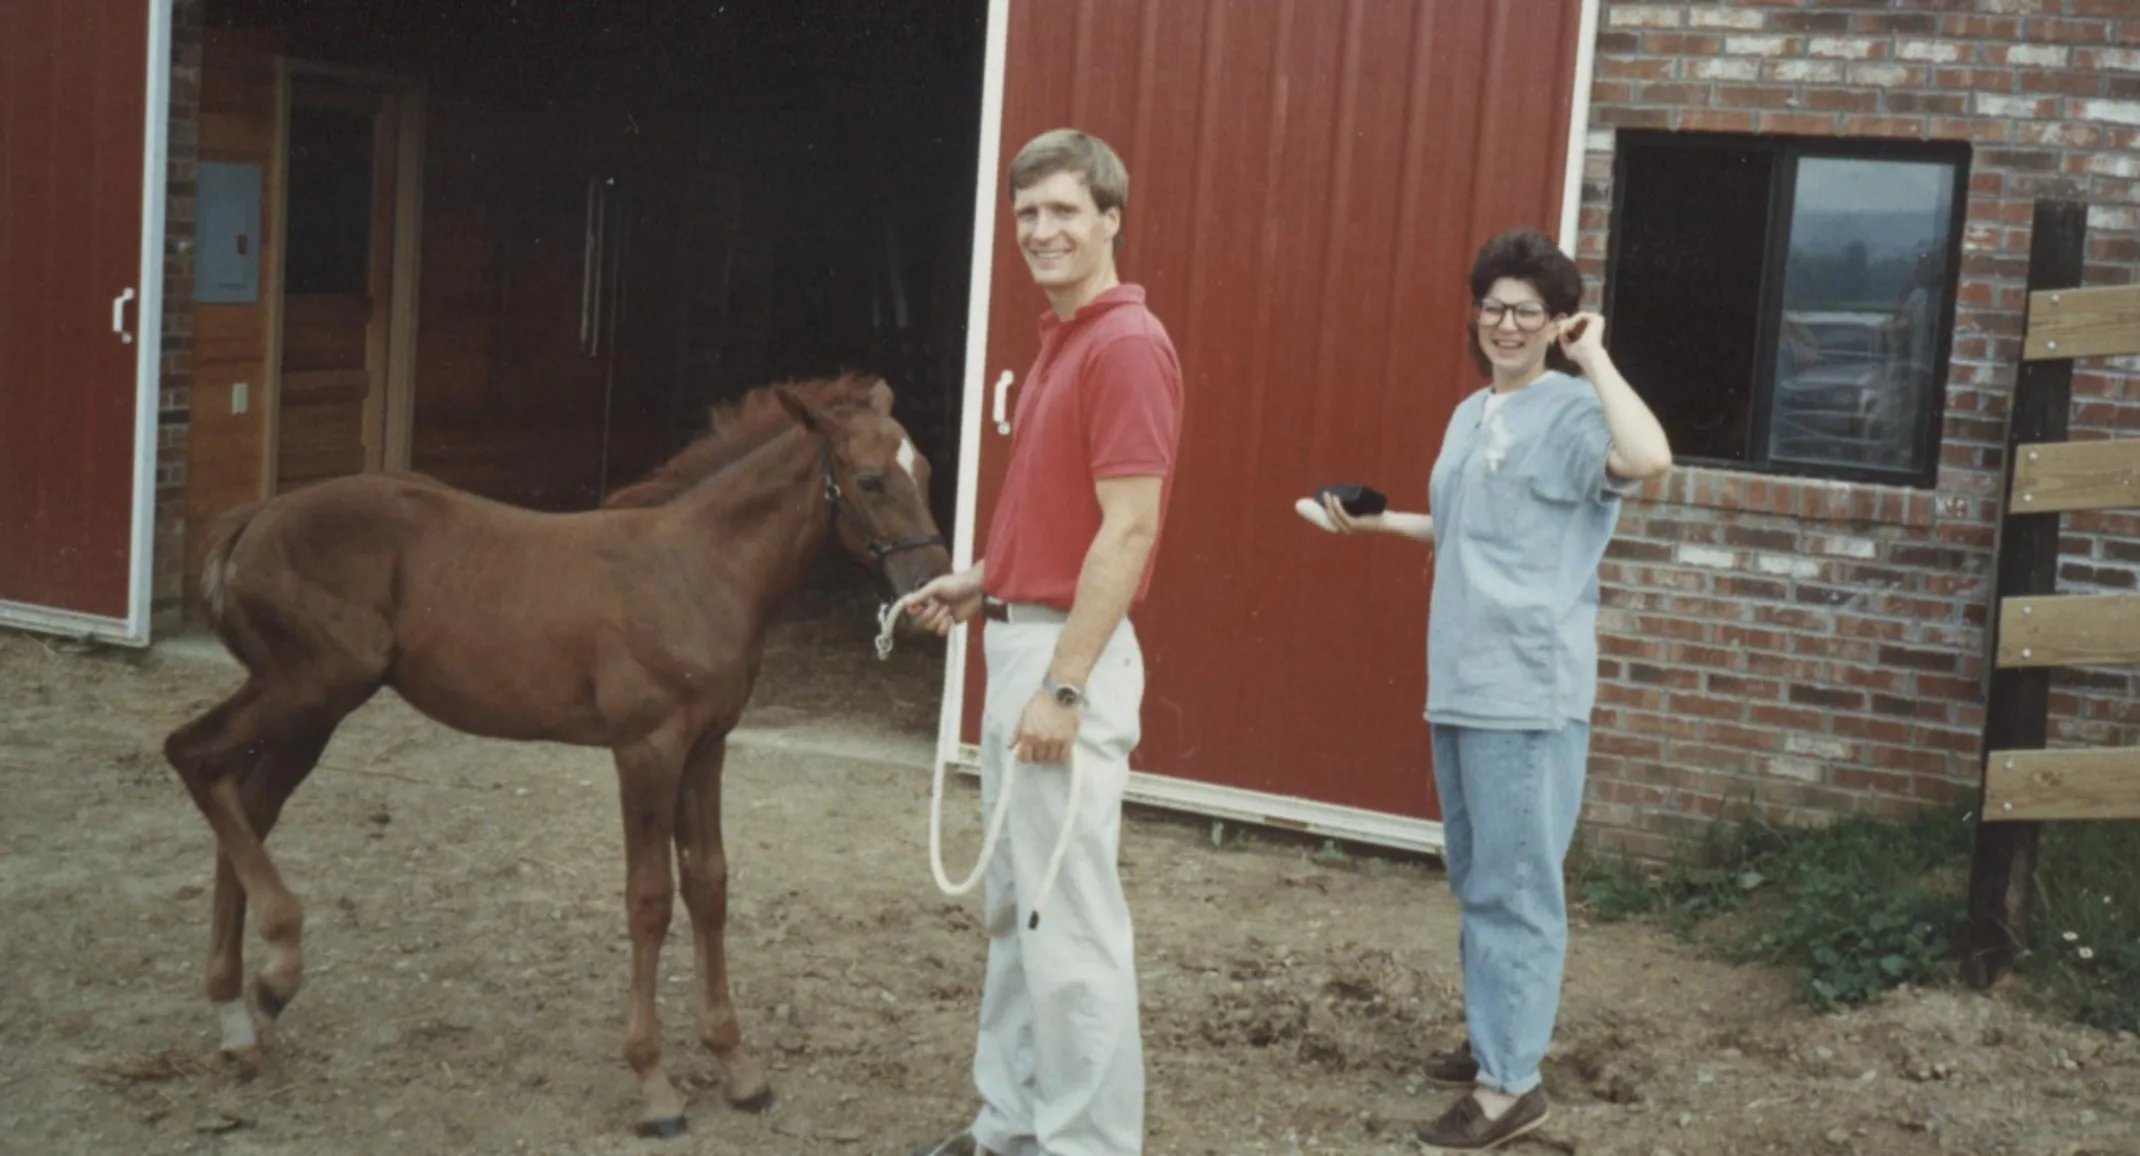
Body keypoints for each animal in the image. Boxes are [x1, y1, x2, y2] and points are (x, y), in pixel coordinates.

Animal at [161, 372, 951, 1137]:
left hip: (313, 711)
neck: (692, 570)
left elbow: (710, 886)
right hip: (309, 687)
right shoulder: (646, 748)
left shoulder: (707, 748)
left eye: (926, 469)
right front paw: (655, 1085)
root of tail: (255, 519)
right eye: (870, 479)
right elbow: (650, 899)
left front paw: (737, 1065)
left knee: (247, 803)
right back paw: (276, 971)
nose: (927, 596)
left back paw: (237, 1017)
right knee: (193, 757)